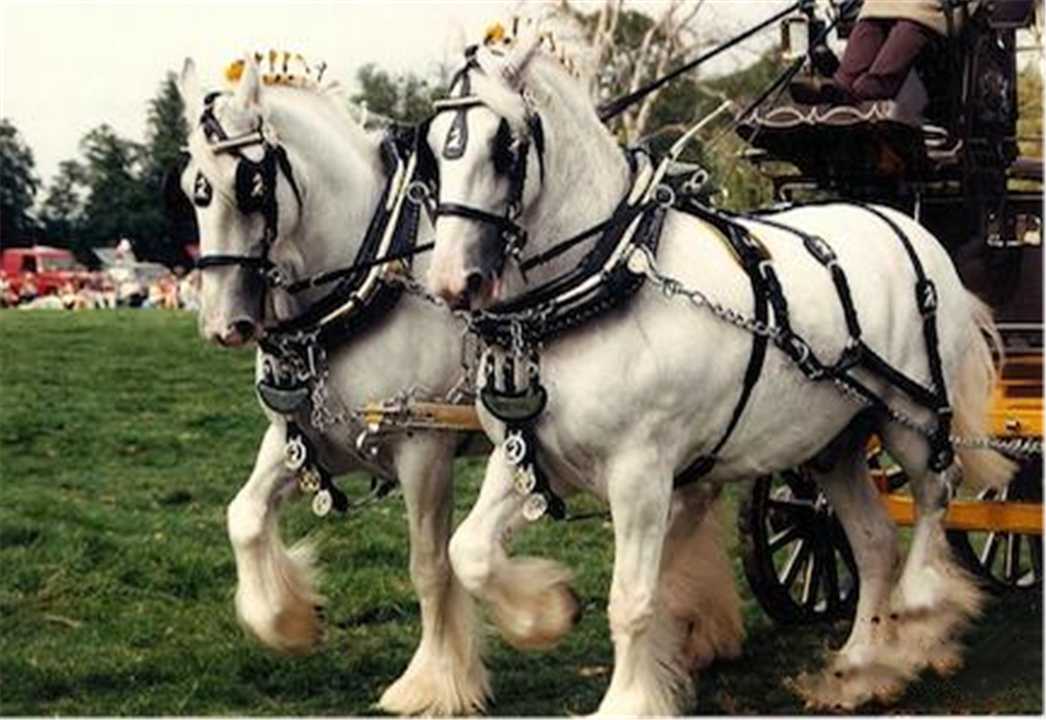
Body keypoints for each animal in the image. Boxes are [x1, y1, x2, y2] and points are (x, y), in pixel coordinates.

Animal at [175, 55, 486, 715]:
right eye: (193, 186)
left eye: (253, 185)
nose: (221, 323)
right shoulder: (307, 441)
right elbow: (243, 516)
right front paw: (290, 621)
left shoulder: (423, 448)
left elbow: (429, 566)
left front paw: (435, 681)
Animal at [422, 30, 1017, 715]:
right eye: (432, 151)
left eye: (506, 147)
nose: (453, 281)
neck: (596, 285)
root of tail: (910, 226)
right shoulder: (523, 456)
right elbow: (468, 552)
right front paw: (547, 611)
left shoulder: (642, 472)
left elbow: (632, 599)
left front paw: (628, 698)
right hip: (833, 442)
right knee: (871, 542)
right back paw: (862, 664)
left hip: (911, 417)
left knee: (936, 495)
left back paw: (921, 609)